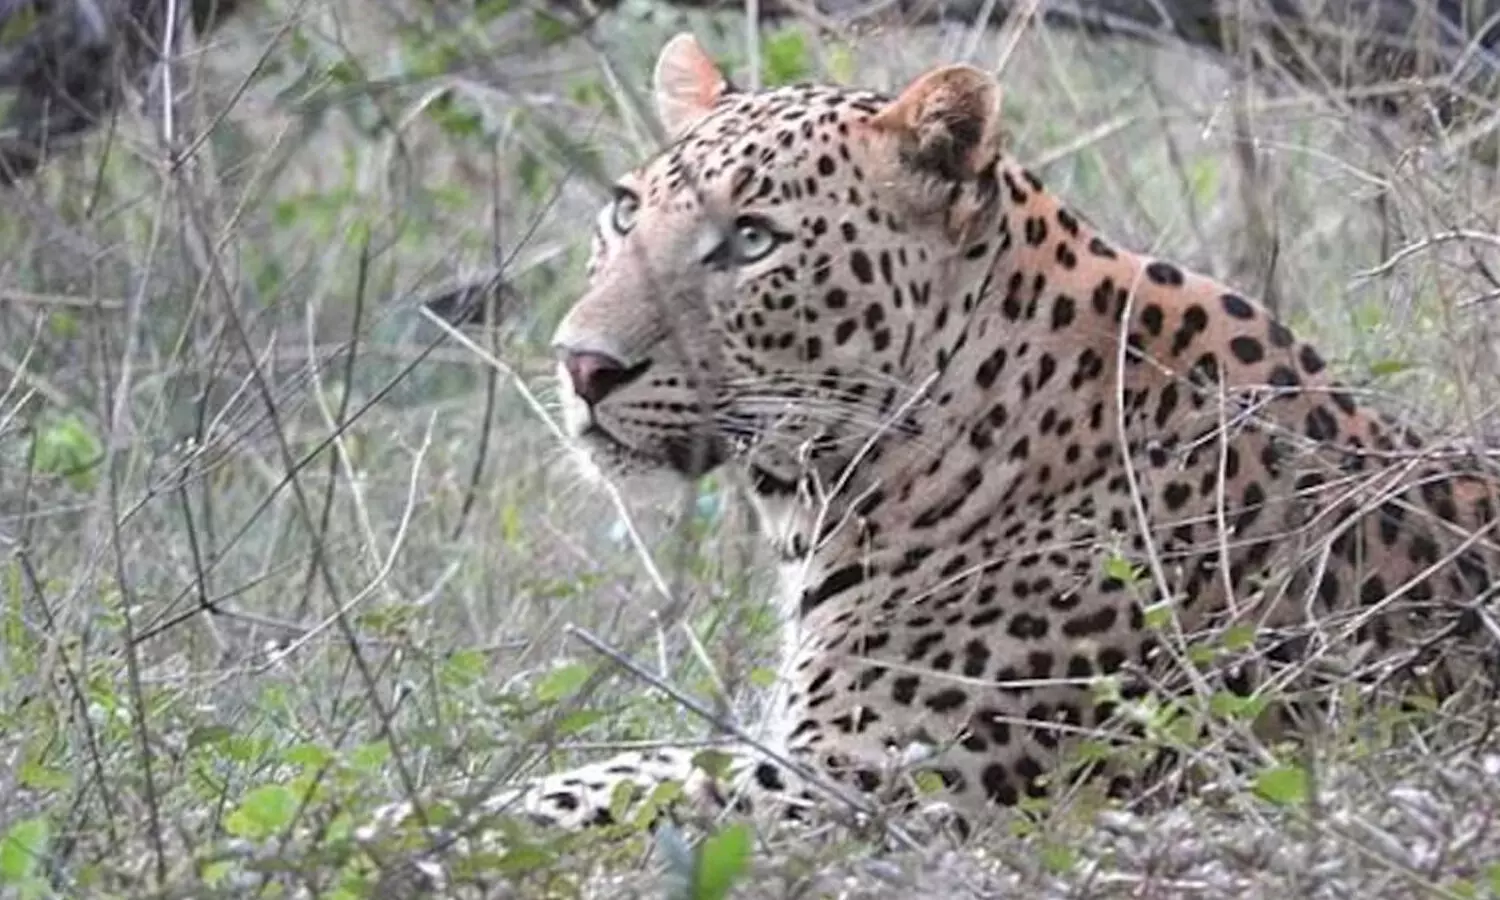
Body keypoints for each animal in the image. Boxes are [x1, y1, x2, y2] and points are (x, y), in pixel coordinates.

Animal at [430, 33, 1500, 841]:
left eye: (753, 241)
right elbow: (612, 772)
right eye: (625, 211)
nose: (581, 364)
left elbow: (606, 802)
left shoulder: (873, 782)